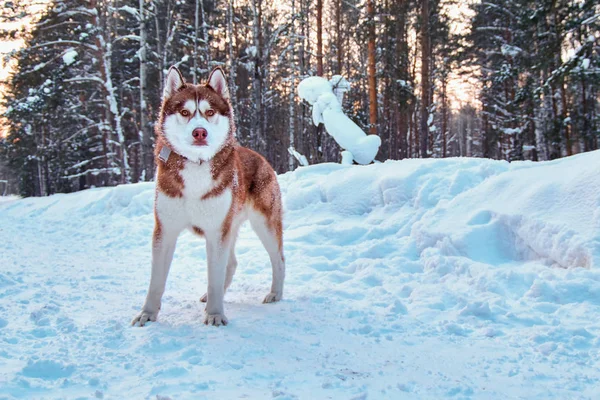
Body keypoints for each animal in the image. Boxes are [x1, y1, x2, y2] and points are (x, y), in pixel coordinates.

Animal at [133, 67, 286, 326]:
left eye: (210, 112)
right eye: (185, 112)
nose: (199, 132)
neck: (196, 166)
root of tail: (260, 156)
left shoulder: (216, 231)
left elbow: (214, 275)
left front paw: (215, 314)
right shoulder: (166, 229)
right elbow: (156, 281)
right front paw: (147, 313)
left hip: (264, 224)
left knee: (279, 259)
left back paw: (275, 293)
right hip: (231, 225)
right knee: (232, 263)